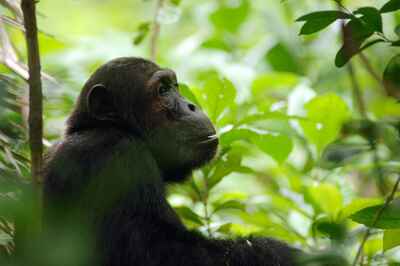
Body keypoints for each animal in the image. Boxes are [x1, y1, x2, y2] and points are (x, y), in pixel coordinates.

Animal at [43, 57, 300, 264]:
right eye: (162, 90)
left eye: (174, 86)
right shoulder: (120, 159)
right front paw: (280, 252)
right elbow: (162, 251)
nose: (191, 105)